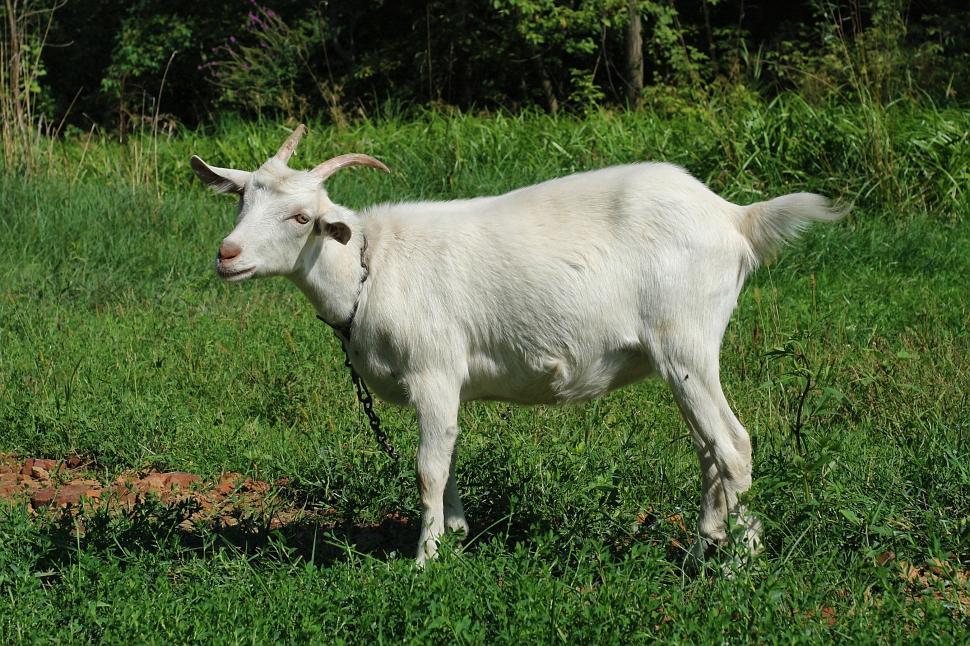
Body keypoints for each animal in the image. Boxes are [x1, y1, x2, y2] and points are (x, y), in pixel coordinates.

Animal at [191, 125, 844, 564]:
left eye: (302, 218)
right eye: (242, 198)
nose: (227, 255)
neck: (369, 266)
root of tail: (734, 218)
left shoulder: (432, 367)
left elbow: (427, 467)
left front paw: (425, 559)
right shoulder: (447, 385)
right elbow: (449, 454)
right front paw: (456, 534)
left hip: (685, 341)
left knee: (732, 445)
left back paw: (730, 560)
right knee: (711, 448)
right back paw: (715, 540)